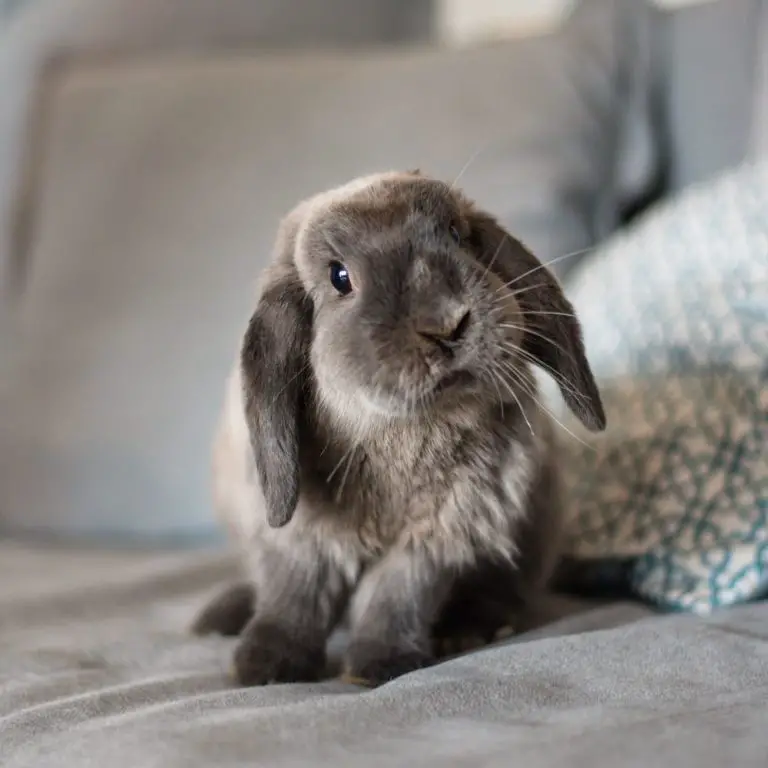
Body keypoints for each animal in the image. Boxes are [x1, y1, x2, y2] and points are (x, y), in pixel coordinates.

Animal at [191, 170, 606, 687]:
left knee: (504, 591)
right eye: (339, 277)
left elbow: (397, 594)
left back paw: (470, 629)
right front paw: (263, 666)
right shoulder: (301, 536)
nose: (447, 323)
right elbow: (296, 593)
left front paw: (379, 665)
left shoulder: (439, 533)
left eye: (458, 235)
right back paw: (221, 616)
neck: (402, 431)